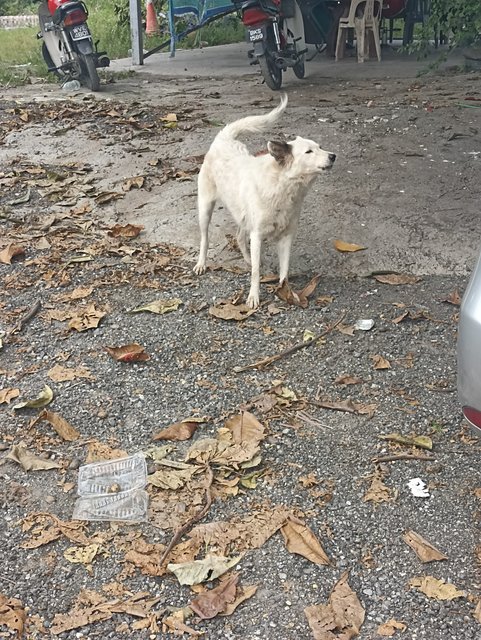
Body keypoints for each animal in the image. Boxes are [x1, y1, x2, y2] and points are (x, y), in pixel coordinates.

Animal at [191, 94, 334, 310]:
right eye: (309, 152)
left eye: (320, 147)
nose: (333, 156)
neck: (283, 185)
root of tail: (223, 139)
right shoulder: (257, 235)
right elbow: (256, 273)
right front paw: (253, 296)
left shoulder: (286, 236)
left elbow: (284, 271)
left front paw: (286, 293)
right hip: (205, 207)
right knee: (205, 238)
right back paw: (201, 263)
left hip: (243, 215)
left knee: (239, 236)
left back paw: (247, 259)